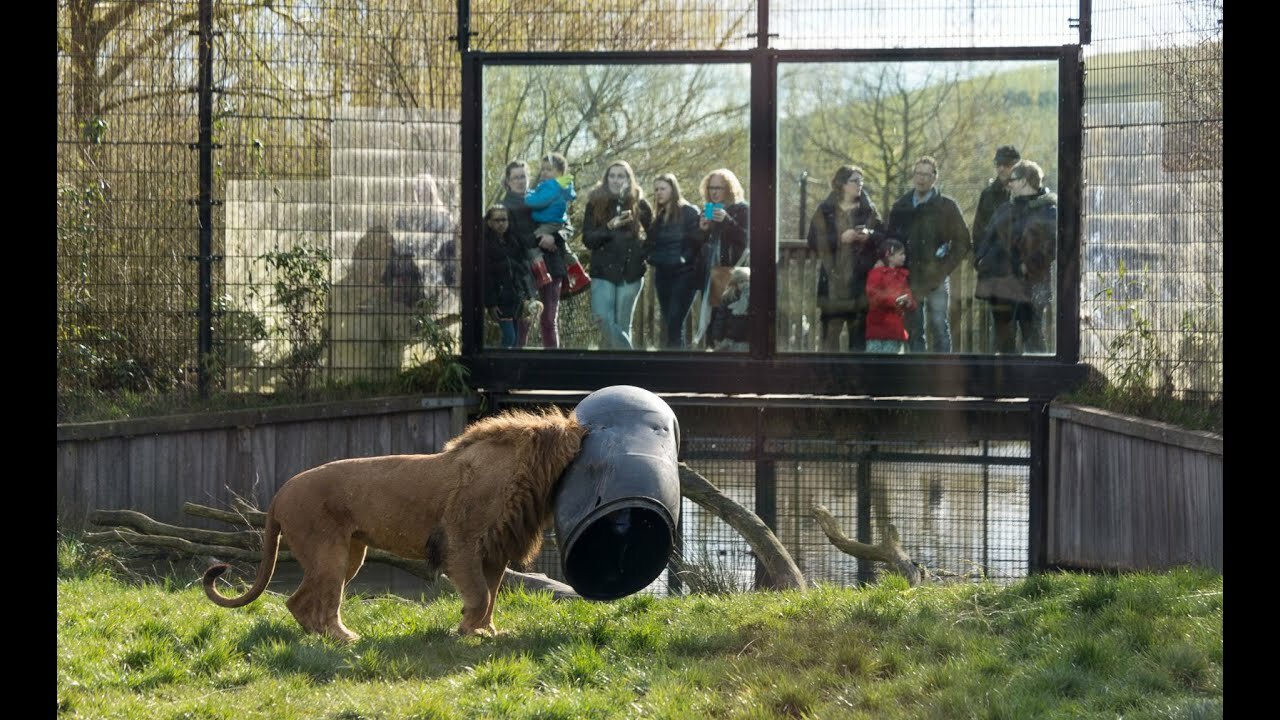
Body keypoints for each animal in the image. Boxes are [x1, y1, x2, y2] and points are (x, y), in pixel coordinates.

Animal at [202, 404, 586, 638]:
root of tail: (279, 494)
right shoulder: (460, 543)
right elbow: (479, 595)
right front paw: (465, 630)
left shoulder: (494, 551)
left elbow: (490, 596)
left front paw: (487, 633)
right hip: (330, 553)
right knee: (323, 603)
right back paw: (344, 639)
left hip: (348, 556)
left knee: (297, 601)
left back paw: (320, 637)